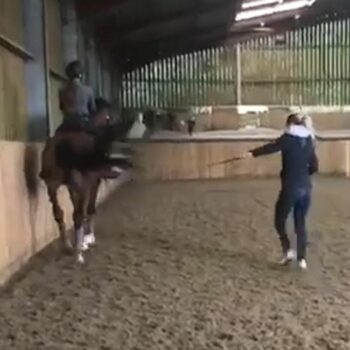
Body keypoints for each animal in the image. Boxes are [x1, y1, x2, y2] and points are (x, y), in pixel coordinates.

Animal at [40, 98, 133, 262]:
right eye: (111, 116)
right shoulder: (92, 182)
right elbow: (89, 209)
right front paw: (88, 238)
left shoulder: (71, 186)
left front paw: (84, 239)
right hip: (80, 185)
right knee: (77, 214)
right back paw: (78, 253)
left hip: (52, 185)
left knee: (59, 213)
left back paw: (68, 246)